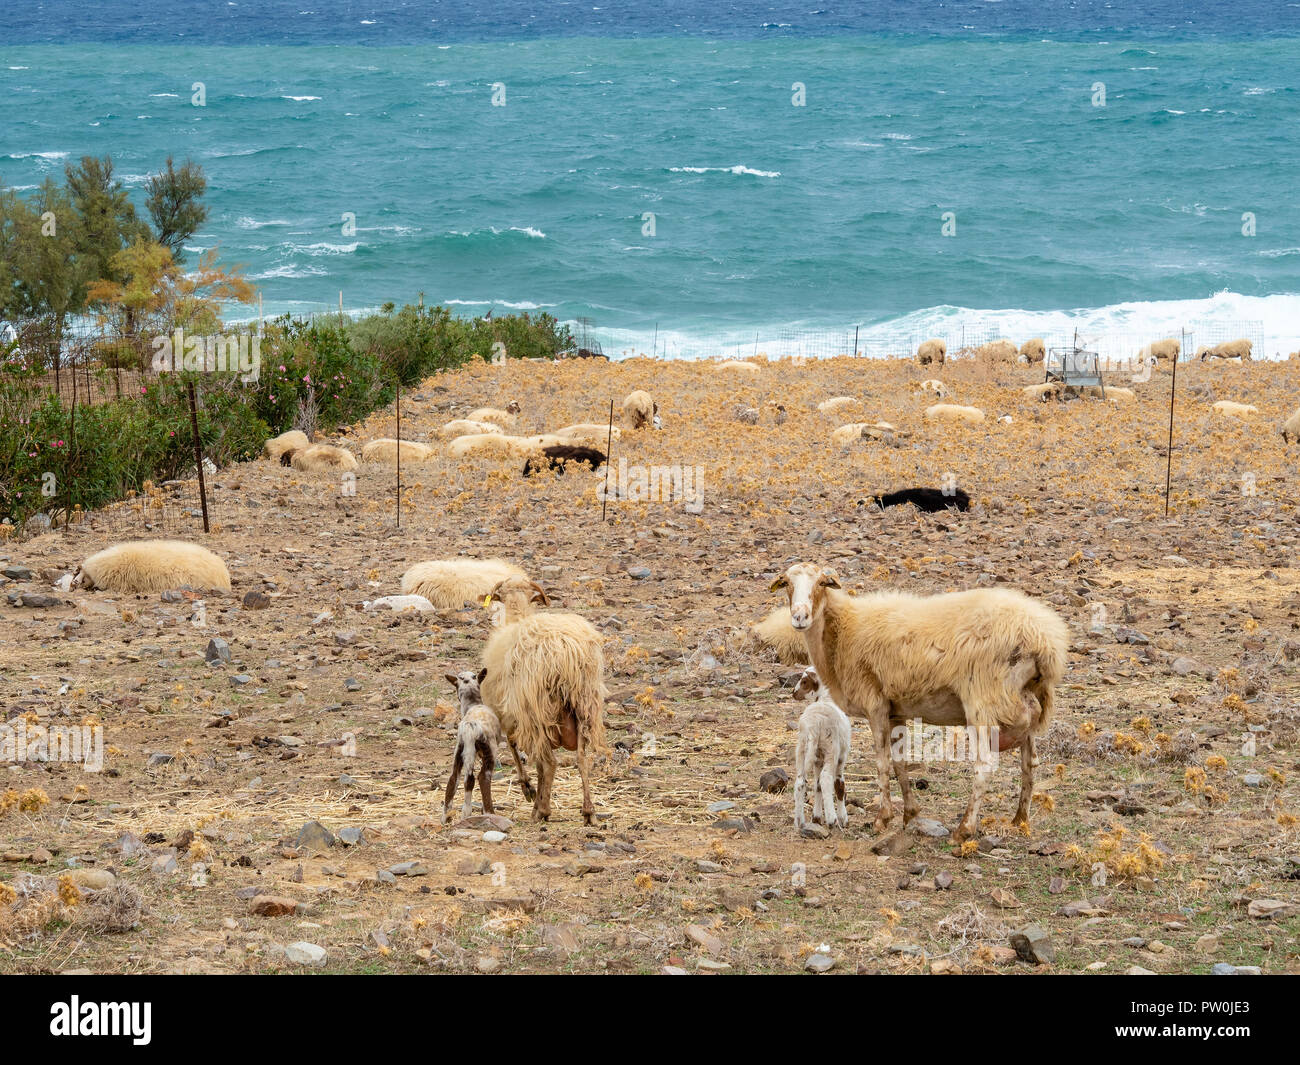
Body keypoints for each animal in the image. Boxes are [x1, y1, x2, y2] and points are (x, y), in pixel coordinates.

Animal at [441, 665, 512, 827]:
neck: (473, 704)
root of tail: (470, 726)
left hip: (460, 749)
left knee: (454, 778)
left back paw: (446, 818)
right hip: (489, 749)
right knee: (483, 777)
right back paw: (489, 812)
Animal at [483, 574, 608, 827]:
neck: (517, 616)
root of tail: (564, 648)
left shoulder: (509, 714)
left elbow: (515, 748)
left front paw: (529, 790)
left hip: (536, 707)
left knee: (549, 762)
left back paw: (543, 810)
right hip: (584, 704)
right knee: (582, 759)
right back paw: (588, 811)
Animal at [790, 665, 852, 832]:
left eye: (804, 681)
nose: (794, 693)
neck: (826, 698)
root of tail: (814, 726)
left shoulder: (817, 760)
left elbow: (816, 786)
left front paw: (816, 818)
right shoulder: (842, 757)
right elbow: (839, 785)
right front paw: (843, 818)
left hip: (802, 749)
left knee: (800, 782)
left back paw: (799, 821)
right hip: (831, 749)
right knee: (826, 779)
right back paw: (832, 819)